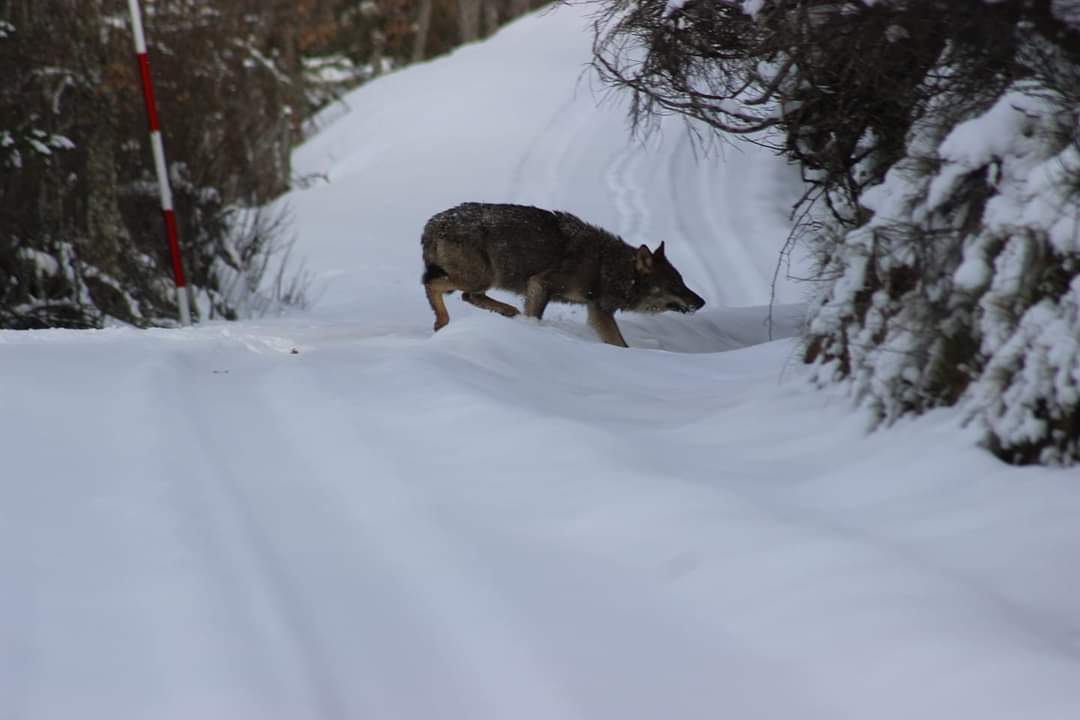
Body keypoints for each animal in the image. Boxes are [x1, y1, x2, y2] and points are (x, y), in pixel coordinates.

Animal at [416, 202, 704, 349]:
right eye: (675, 285)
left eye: (683, 282)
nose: (701, 302)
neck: (606, 266)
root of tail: (432, 223)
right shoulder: (540, 285)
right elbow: (535, 317)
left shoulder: (596, 310)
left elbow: (618, 343)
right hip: (480, 277)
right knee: (433, 285)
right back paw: (442, 323)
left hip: (482, 280)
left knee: (468, 297)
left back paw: (507, 311)